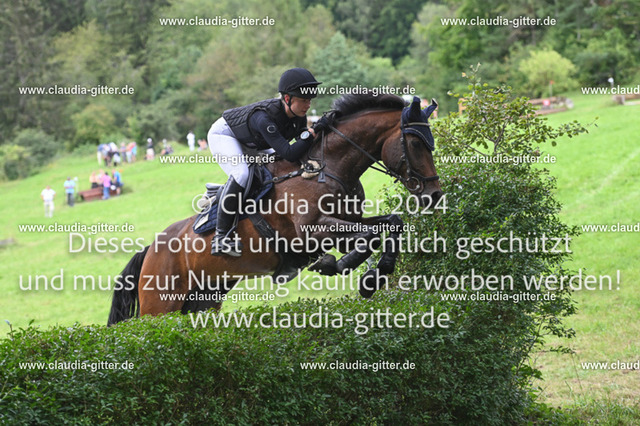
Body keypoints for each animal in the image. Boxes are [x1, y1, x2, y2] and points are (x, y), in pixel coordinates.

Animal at [108, 94, 442, 325]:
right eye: (415, 144)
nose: (435, 195)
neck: (326, 168)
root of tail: (150, 249)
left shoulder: (346, 221)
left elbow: (391, 223)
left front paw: (376, 275)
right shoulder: (312, 232)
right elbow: (369, 237)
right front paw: (342, 265)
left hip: (204, 300)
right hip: (160, 306)